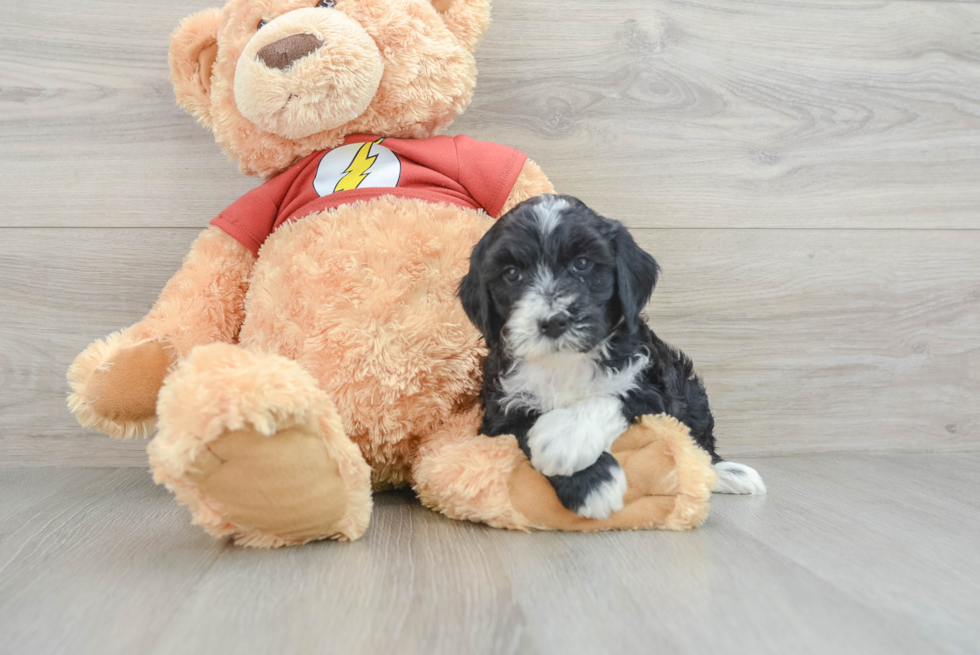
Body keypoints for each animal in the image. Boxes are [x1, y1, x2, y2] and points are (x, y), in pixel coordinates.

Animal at [460, 193, 764, 516]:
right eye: (512, 274)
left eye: (582, 264)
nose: (553, 321)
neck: (564, 363)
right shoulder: (500, 413)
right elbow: (522, 430)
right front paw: (593, 482)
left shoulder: (652, 387)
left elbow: (616, 396)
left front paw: (564, 436)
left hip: (689, 391)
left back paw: (727, 472)